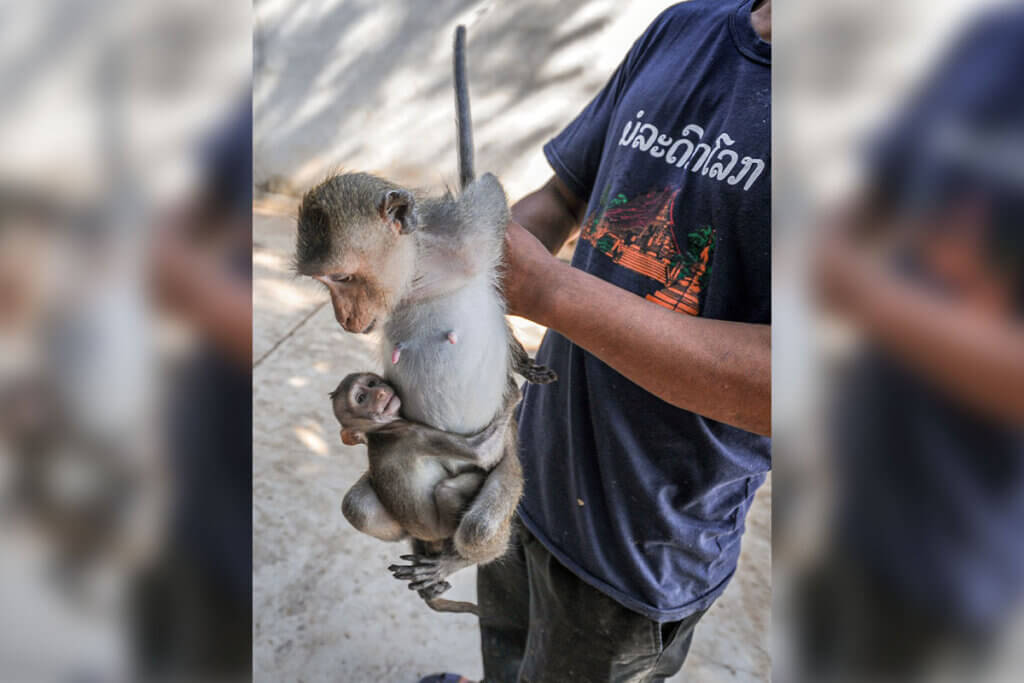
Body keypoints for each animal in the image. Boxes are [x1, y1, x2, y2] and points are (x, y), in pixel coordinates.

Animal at [294, 26, 544, 602]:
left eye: (343, 279)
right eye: (323, 283)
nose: (342, 318)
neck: (416, 282)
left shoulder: (471, 234)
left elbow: (489, 190)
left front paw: (520, 362)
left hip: (507, 469)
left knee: (480, 521)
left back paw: (455, 555)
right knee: (360, 505)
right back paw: (419, 542)